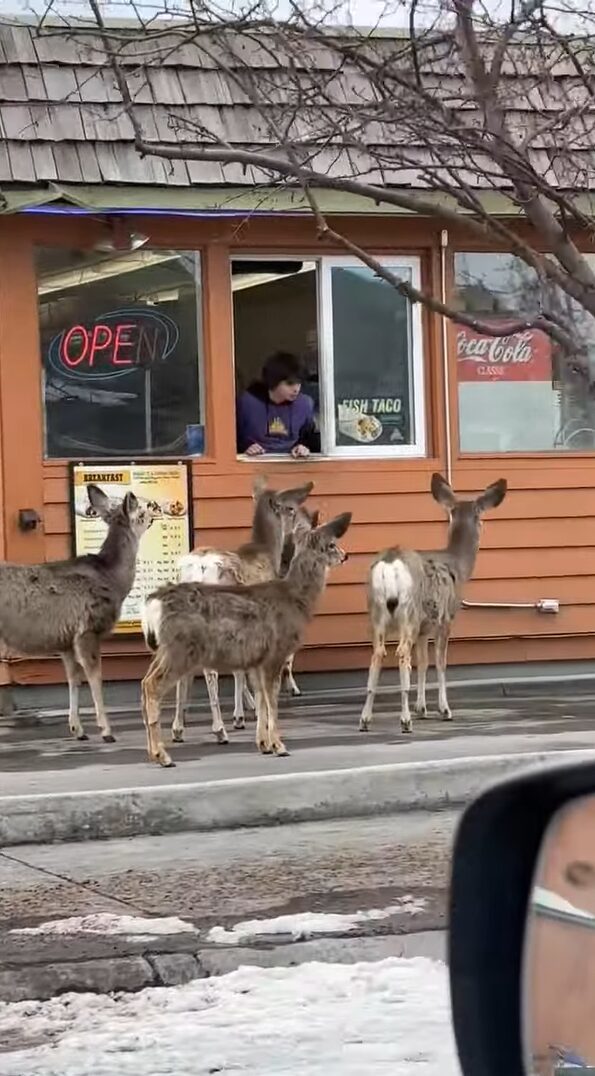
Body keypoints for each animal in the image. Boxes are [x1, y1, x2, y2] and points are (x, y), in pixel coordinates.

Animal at [0, 486, 150, 744]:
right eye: (141, 511)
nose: (154, 515)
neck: (112, 579)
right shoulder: (87, 629)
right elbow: (95, 677)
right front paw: (106, 730)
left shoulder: (66, 640)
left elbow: (73, 678)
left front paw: (77, 729)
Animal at [140, 510, 350, 770]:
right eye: (331, 545)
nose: (345, 555)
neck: (295, 598)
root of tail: (153, 603)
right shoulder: (275, 652)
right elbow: (271, 701)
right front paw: (279, 746)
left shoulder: (258, 659)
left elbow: (261, 699)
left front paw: (264, 744)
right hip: (180, 649)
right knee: (152, 685)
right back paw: (164, 756)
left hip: (164, 650)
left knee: (145, 682)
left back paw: (155, 752)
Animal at [166, 479, 316, 748]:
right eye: (291, 509)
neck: (266, 553)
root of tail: (198, 567)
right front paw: (243, 716)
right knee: (210, 669)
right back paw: (219, 730)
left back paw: (178, 728)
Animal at [357, 475, 505, 735]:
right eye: (481, 515)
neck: (458, 564)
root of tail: (389, 562)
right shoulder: (445, 619)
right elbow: (440, 662)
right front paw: (444, 710)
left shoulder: (423, 628)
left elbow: (423, 663)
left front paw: (421, 708)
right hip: (408, 611)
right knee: (401, 653)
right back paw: (405, 720)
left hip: (376, 611)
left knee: (377, 654)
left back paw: (365, 719)